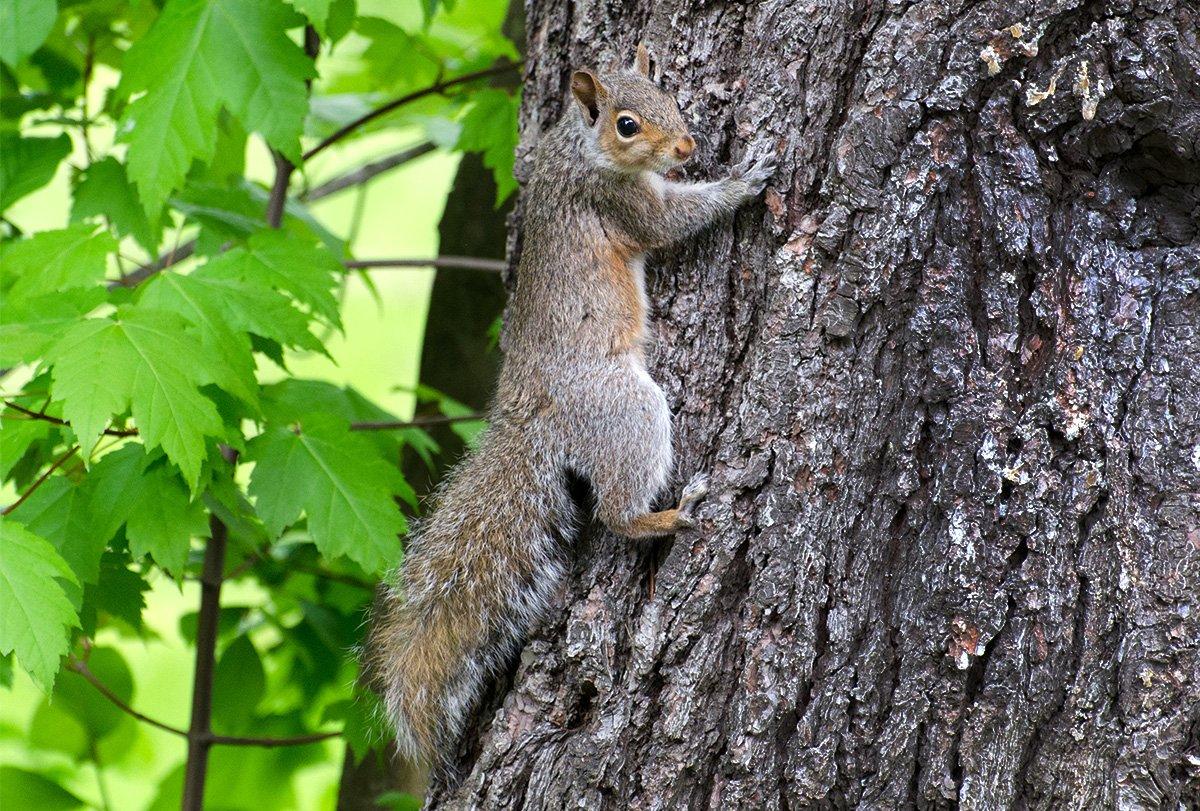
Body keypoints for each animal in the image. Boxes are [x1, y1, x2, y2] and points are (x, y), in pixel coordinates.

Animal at [367, 44, 775, 766]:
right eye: (626, 125)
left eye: (670, 97)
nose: (687, 145)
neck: (579, 148)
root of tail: (528, 417)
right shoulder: (620, 203)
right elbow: (671, 221)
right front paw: (741, 180)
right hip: (625, 408)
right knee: (614, 513)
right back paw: (670, 514)